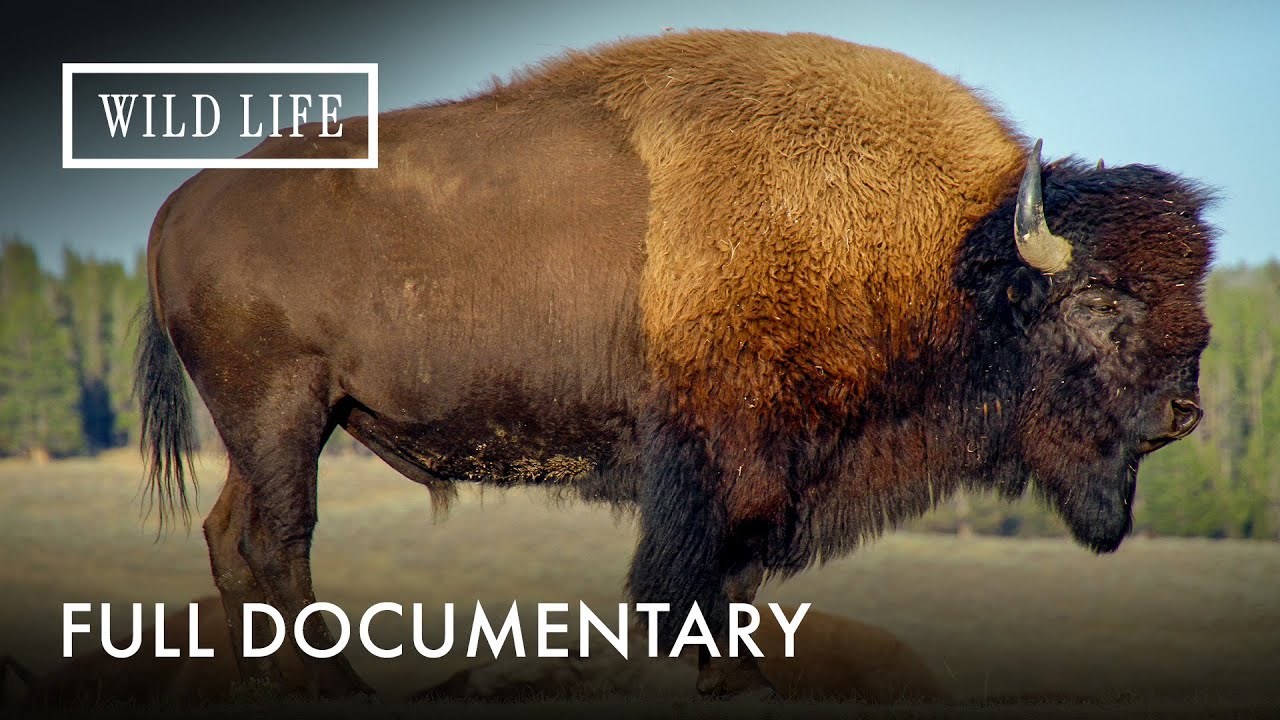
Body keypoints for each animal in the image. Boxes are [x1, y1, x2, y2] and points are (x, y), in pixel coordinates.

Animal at [136, 30, 1214, 697]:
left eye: (1192, 301)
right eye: (1098, 303)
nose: (1182, 414)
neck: (943, 254)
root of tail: (177, 207)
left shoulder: (773, 471)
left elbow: (738, 580)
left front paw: (738, 678)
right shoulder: (718, 458)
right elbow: (695, 577)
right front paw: (722, 677)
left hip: (276, 426)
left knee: (232, 536)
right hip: (282, 410)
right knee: (281, 540)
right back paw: (339, 687)